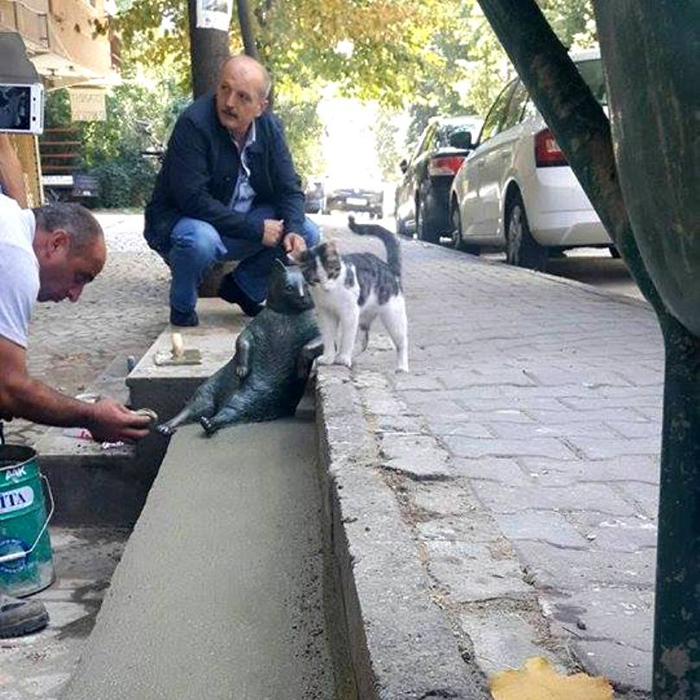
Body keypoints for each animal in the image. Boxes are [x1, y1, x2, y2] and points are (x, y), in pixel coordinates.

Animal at [296, 217, 410, 372]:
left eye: (331, 274)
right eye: (316, 280)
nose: (326, 288)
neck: (331, 295)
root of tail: (389, 268)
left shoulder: (349, 313)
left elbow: (346, 337)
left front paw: (343, 358)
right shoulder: (326, 313)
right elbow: (328, 337)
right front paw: (329, 358)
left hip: (393, 316)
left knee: (402, 342)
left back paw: (402, 367)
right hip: (363, 318)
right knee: (363, 340)